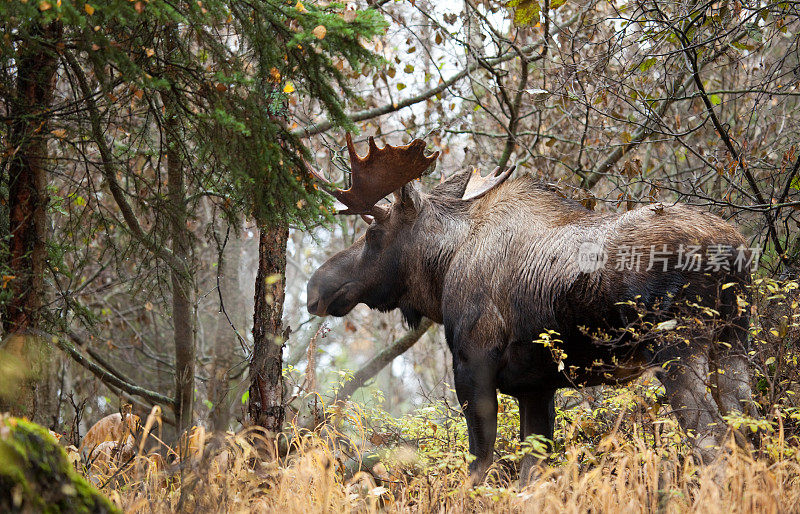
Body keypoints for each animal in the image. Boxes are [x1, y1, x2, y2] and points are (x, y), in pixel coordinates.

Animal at [306, 133, 756, 480]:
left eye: (374, 233)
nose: (315, 287)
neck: (443, 268)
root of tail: (734, 250)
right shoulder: (536, 386)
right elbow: (531, 473)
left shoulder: (472, 364)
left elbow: (480, 465)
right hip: (733, 341)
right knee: (750, 425)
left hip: (676, 346)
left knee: (714, 438)